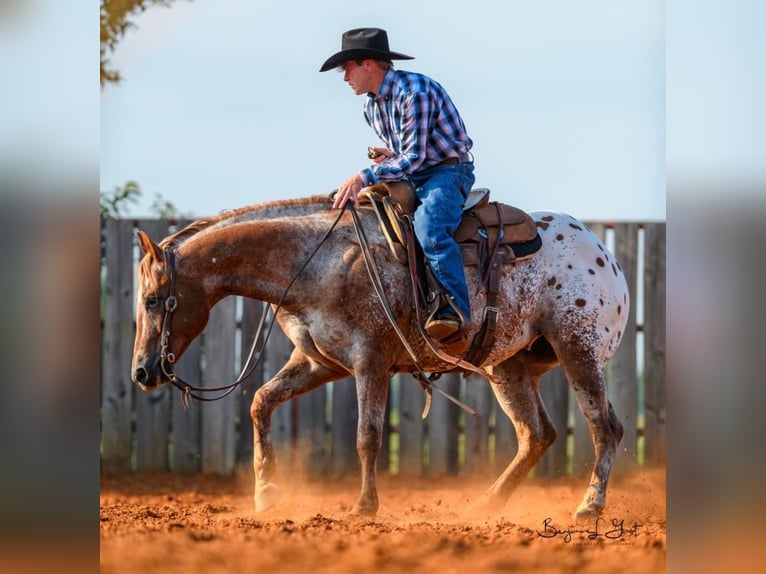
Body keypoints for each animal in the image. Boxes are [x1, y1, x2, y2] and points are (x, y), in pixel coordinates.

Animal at [134, 196, 632, 520]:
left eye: (154, 300)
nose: (142, 372)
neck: (319, 261)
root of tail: (605, 255)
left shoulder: (368, 360)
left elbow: (367, 436)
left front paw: (363, 507)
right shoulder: (319, 363)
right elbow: (260, 402)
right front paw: (266, 492)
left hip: (578, 351)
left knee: (604, 427)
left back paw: (588, 506)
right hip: (508, 368)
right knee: (537, 435)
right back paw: (484, 505)